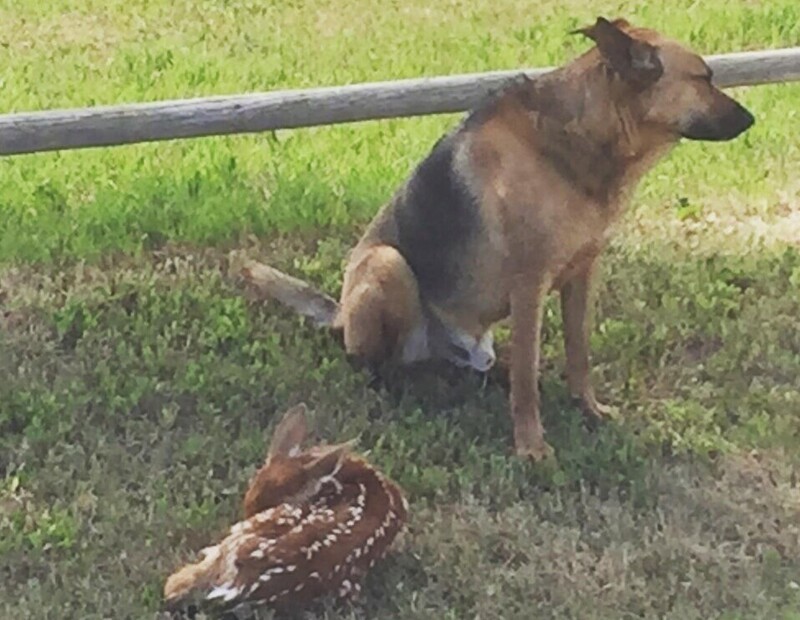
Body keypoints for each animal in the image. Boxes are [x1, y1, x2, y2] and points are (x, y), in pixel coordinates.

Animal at [242, 17, 752, 460]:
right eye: (704, 78)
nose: (752, 120)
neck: (582, 135)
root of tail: (340, 314)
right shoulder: (530, 284)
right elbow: (527, 380)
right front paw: (532, 447)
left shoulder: (583, 273)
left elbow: (579, 352)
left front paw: (588, 408)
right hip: (387, 264)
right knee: (372, 362)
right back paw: (402, 386)